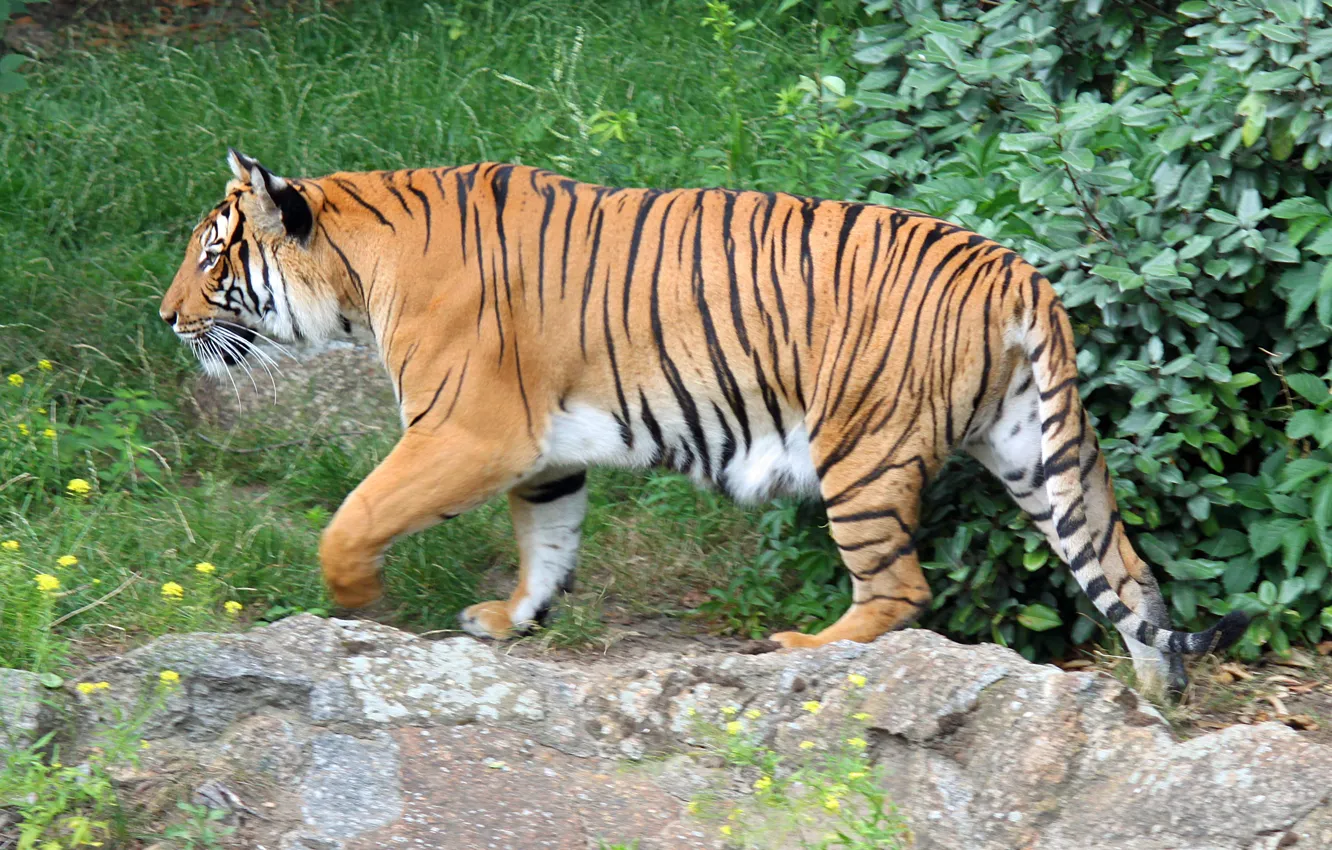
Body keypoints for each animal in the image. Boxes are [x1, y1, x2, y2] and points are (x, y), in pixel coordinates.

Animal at [159, 150, 1249, 696]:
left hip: (860, 450)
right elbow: (548, 543)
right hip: (1037, 453)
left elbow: (353, 517)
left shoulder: (466, 432)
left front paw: (359, 606)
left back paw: (802, 648)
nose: (167, 317)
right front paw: (511, 618)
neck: (358, 271)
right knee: (1128, 576)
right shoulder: (542, 455)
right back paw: (1159, 695)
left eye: (213, 258)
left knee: (900, 588)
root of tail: (1016, 269)